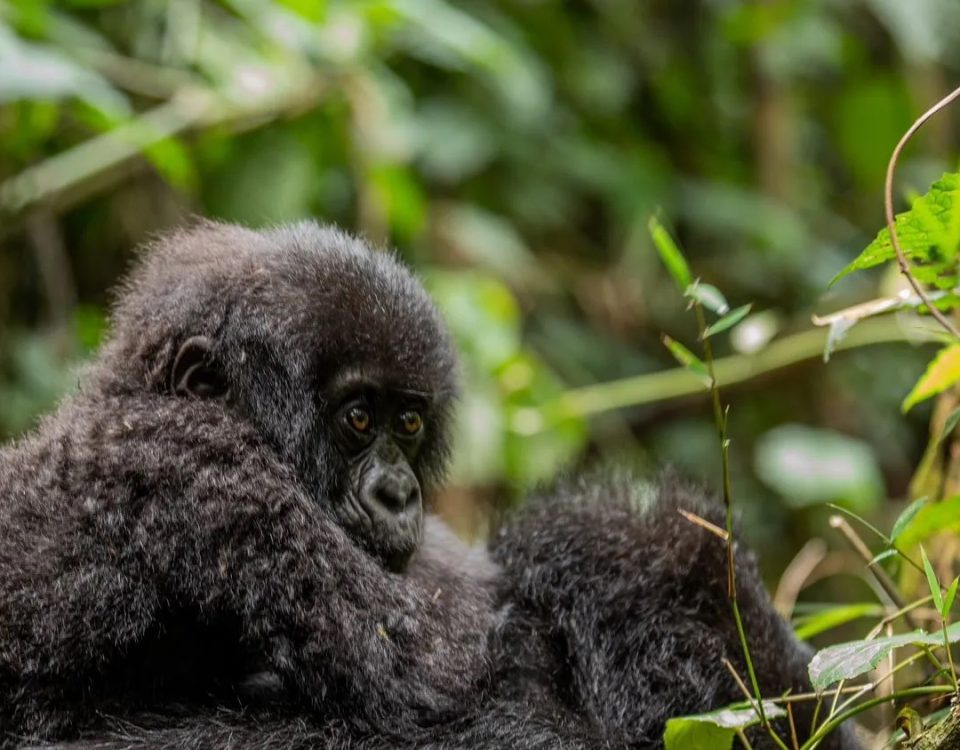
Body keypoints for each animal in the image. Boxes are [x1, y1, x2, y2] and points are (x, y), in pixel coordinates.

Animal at [0, 221, 857, 749]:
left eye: (409, 424)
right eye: (357, 418)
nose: (397, 495)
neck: (128, 394)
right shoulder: (195, 467)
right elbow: (425, 674)